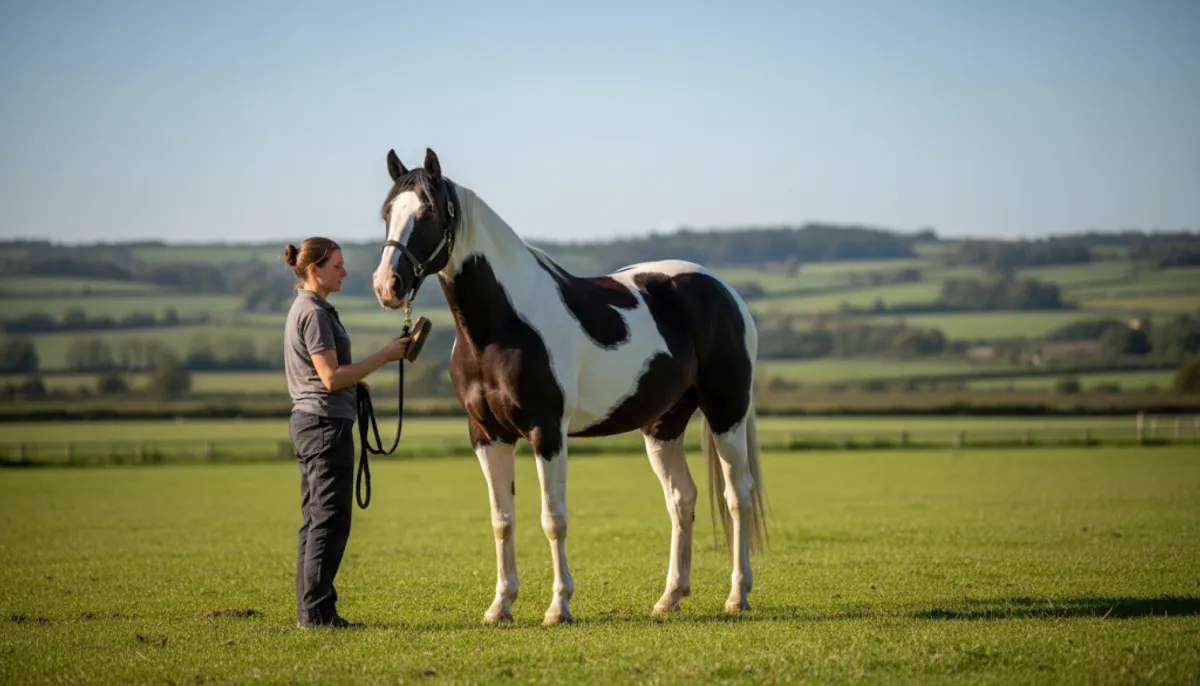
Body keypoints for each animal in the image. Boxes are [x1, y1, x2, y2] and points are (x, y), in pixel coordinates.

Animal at [370, 147, 768, 626]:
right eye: (386, 212)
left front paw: (558, 606)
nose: (387, 286)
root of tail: (724, 290)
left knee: (737, 496)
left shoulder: (547, 432)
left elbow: (552, 519)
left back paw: (738, 594)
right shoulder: (487, 435)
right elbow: (502, 520)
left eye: (427, 212)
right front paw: (500, 605)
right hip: (663, 424)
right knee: (681, 499)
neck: (500, 326)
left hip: (726, 411)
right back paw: (670, 596)